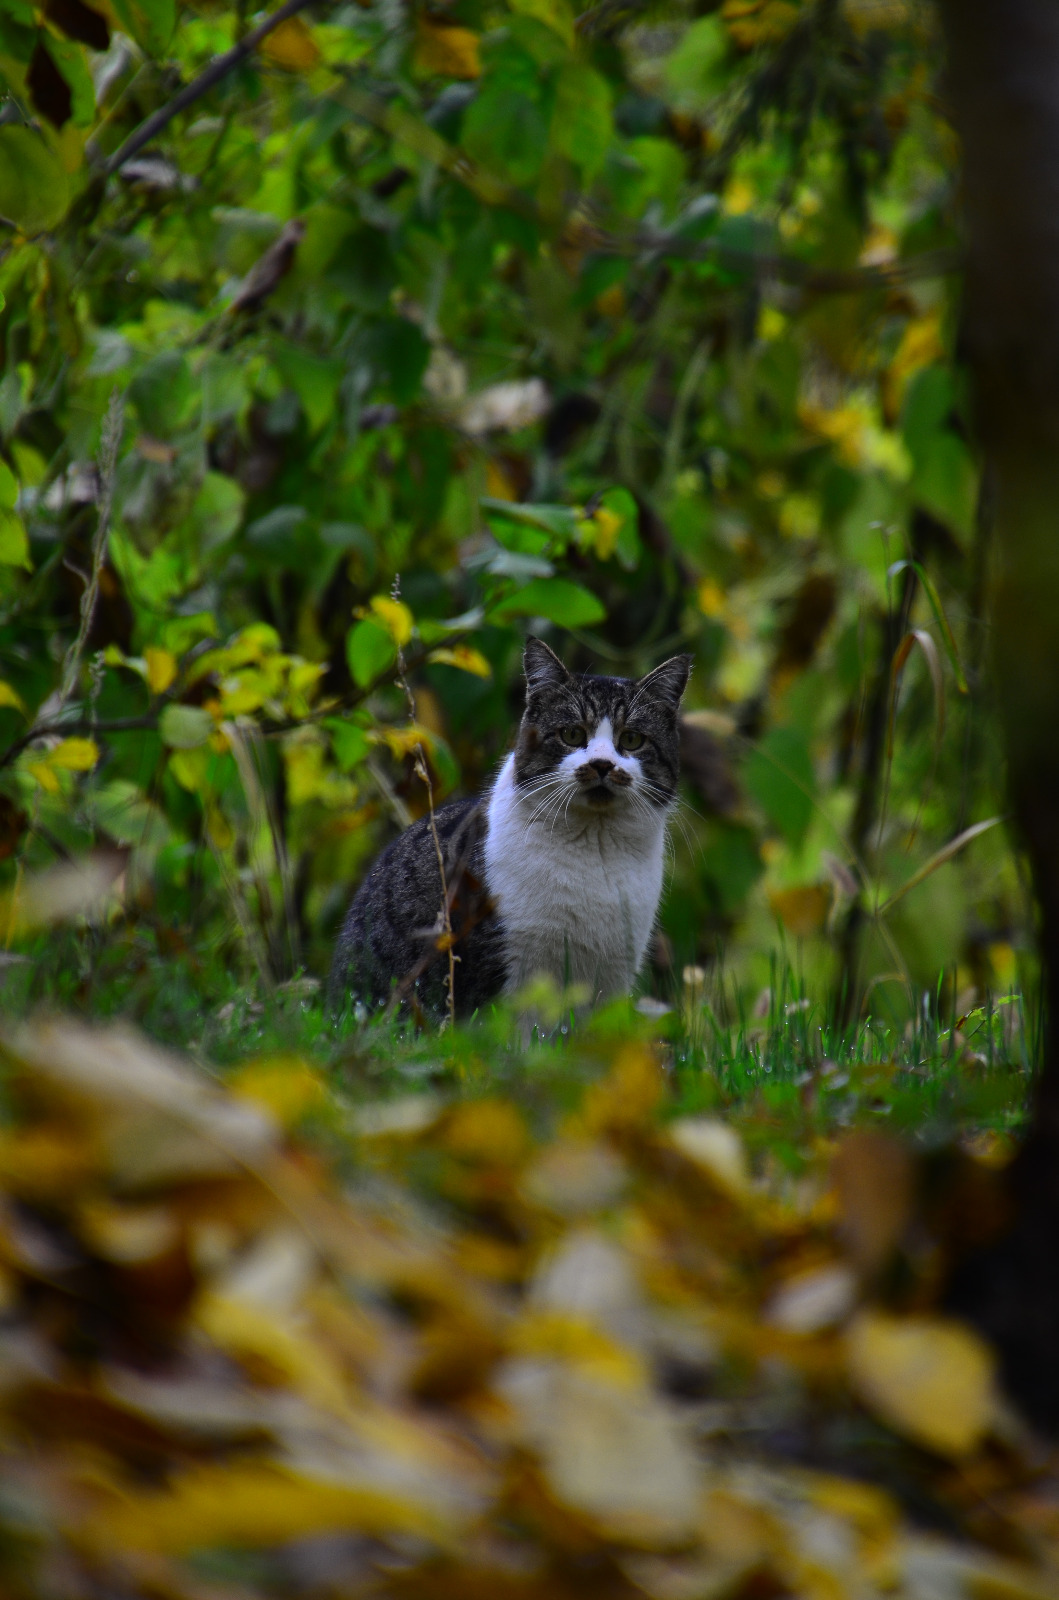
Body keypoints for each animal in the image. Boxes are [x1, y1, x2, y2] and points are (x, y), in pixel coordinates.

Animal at [332, 640, 697, 1024]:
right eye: (572, 734)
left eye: (631, 739)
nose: (601, 764)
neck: (595, 847)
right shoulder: (501, 967)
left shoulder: (613, 974)